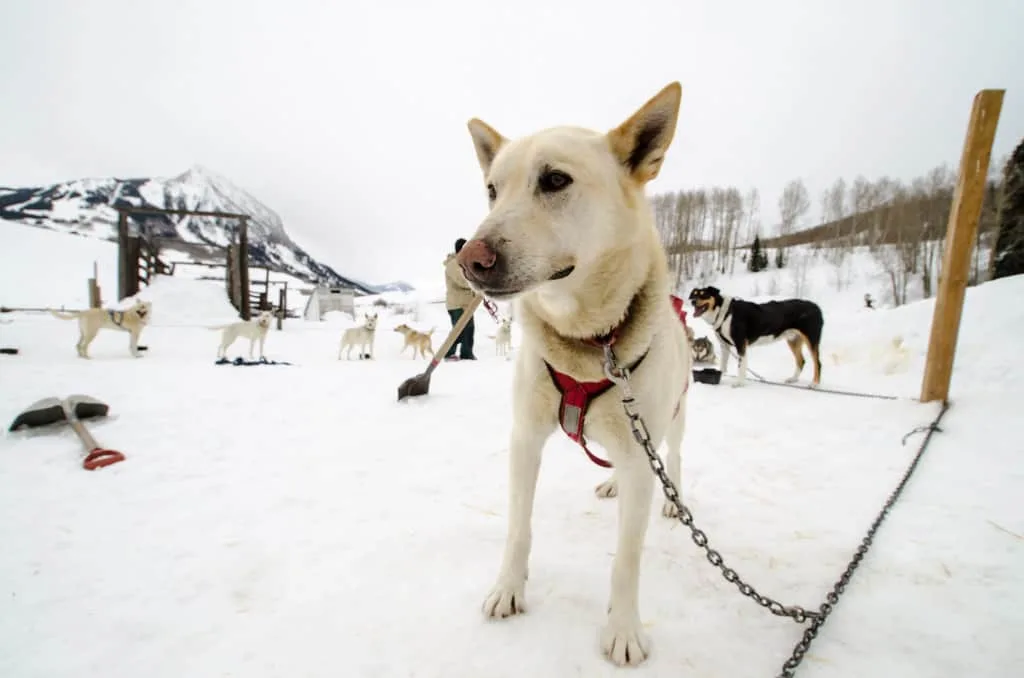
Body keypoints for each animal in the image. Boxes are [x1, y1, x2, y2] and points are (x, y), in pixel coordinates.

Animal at [460, 80, 692, 667]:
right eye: (491, 190)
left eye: (555, 180)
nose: (469, 260)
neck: (588, 344)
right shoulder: (525, 438)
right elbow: (518, 528)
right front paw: (508, 589)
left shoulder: (641, 450)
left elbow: (626, 560)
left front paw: (624, 629)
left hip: (673, 419)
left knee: (673, 457)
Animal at [688, 284, 823, 387]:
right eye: (695, 294)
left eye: (704, 294)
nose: (693, 301)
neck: (725, 313)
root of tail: (816, 307)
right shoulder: (724, 346)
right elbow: (723, 366)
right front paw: (721, 376)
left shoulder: (741, 345)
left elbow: (741, 366)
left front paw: (739, 383)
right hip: (793, 340)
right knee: (801, 361)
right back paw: (793, 379)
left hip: (811, 340)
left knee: (818, 363)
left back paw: (814, 384)